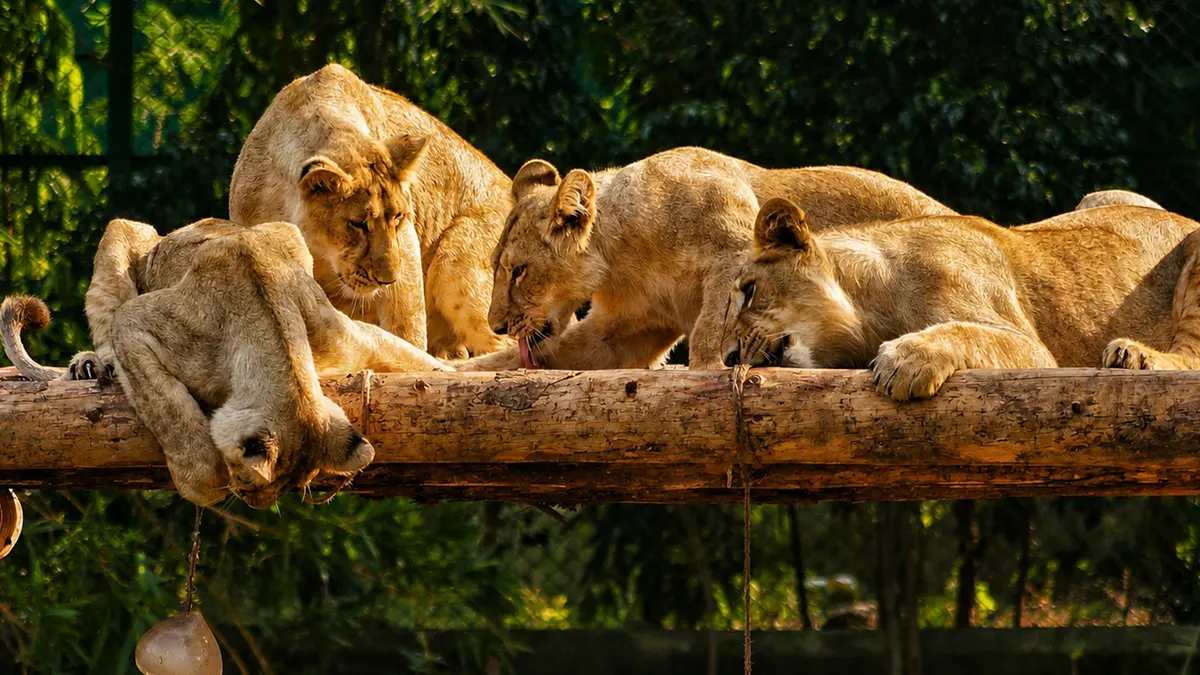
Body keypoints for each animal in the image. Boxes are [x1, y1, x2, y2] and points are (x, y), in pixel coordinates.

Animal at [2, 218, 450, 507]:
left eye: (294, 486)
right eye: (251, 482)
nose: (254, 504)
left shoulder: (342, 334)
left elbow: (404, 353)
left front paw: (448, 370)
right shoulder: (135, 325)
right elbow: (171, 412)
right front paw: (203, 483)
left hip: (287, 231)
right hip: (126, 234)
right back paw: (94, 365)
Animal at [229, 63, 512, 359]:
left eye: (398, 217)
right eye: (357, 223)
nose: (387, 280)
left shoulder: (406, 244)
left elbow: (405, 325)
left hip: (456, 267)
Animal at [471, 146, 956, 371]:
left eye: (519, 271)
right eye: (499, 267)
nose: (497, 325)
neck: (621, 258)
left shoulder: (736, 249)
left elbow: (711, 325)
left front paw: (707, 369)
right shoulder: (628, 329)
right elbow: (530, 356)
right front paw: (460, 367)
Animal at [722, 198, 1200, 400]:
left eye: (749, 291)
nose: (728, 357)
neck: (869, 309)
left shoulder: (1034, 348)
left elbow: (967, 332)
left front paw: (906, 360)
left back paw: (1132, 354)